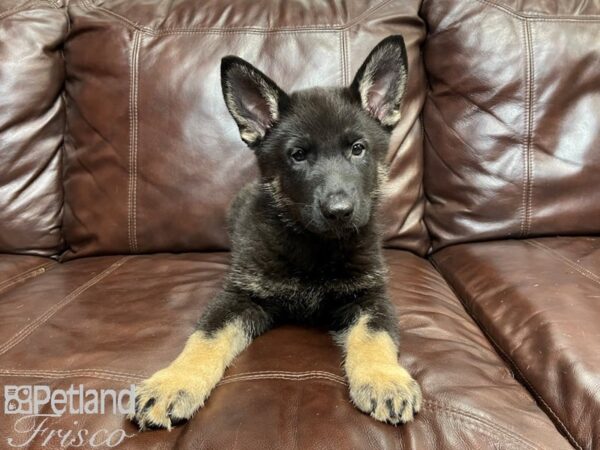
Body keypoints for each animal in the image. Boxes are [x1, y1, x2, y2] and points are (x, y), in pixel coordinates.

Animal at [131, 35, 422, 428]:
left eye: (358, 149)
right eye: (297, 155)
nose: (339, 212)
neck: (314, 246)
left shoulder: (370, 295)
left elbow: (375, 336)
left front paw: (384, 379)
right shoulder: (239, 296)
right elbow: (205, 337)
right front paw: (174, 382)